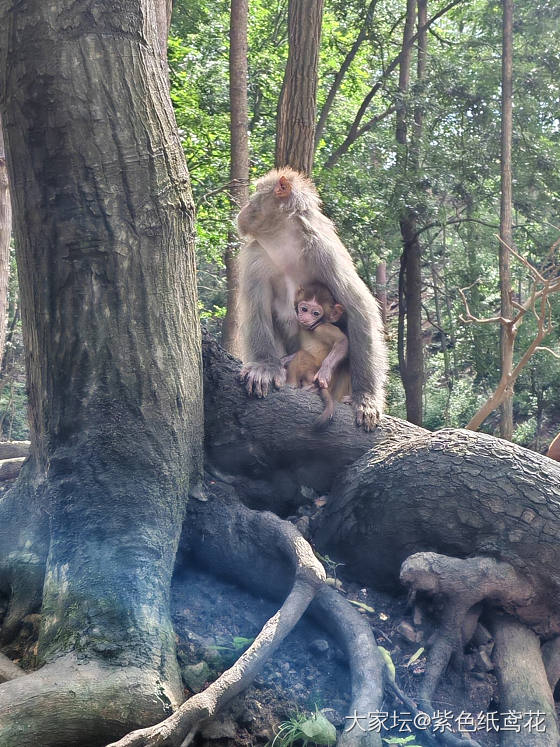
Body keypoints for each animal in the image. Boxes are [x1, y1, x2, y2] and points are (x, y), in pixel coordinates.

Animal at [288, 284, 350, 430]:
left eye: (315, 313)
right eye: (304, 309)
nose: (306, 317)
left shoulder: (323, 328)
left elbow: (342, 341)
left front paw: (324, 372)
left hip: (314, 374)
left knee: (302, 356)